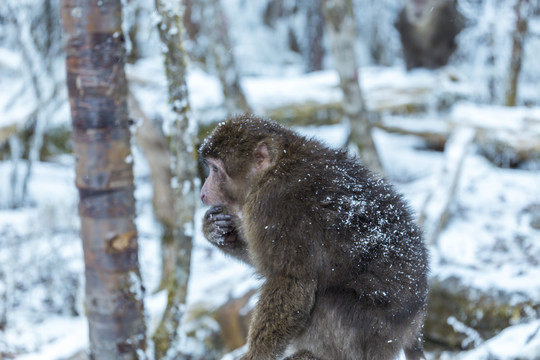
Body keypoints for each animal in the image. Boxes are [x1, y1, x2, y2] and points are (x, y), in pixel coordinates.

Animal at [199, 114, 430, 360]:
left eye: (215, 170)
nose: (203, 192)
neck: (273, 170)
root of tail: (414, 327)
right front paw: (216, 230)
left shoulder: (276, 208)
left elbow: (292, 280)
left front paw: (256, 354)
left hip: (379, 332)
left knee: (329, 300)